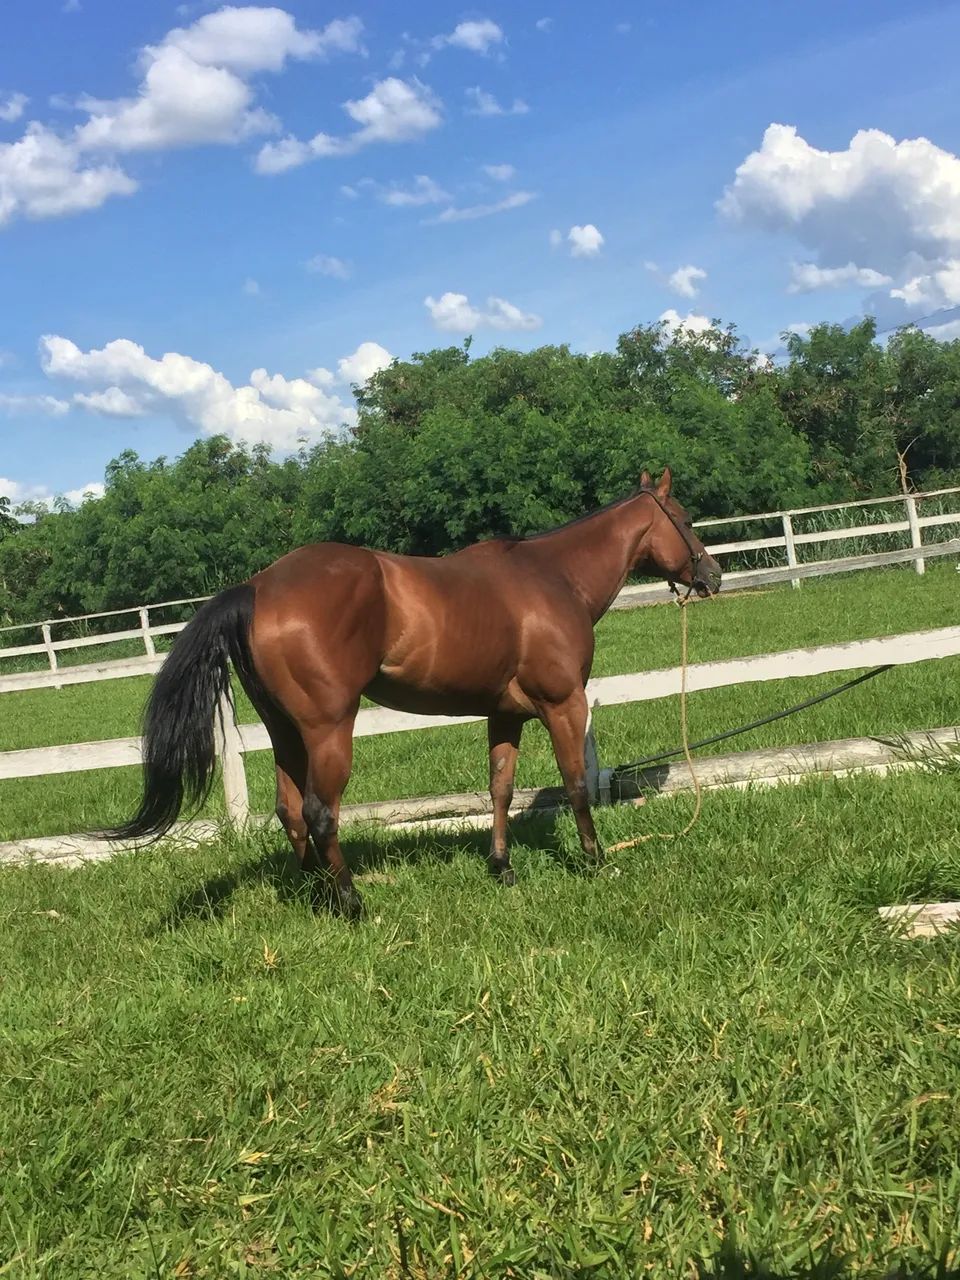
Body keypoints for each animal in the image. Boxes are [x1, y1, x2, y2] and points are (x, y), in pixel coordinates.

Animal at [105, 467, 721, 919]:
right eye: (686, 520)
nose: (711, 576)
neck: (552, 578)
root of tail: (257, 587)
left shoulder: (505, 715)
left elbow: (500, 789)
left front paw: (502, 867)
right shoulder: (562, 704)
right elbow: (574, 784)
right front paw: (595, 861)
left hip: (286, 734)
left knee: (290, 811)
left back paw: (318, 894)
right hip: (328, 731)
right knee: (320, 812)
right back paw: (352, 903)